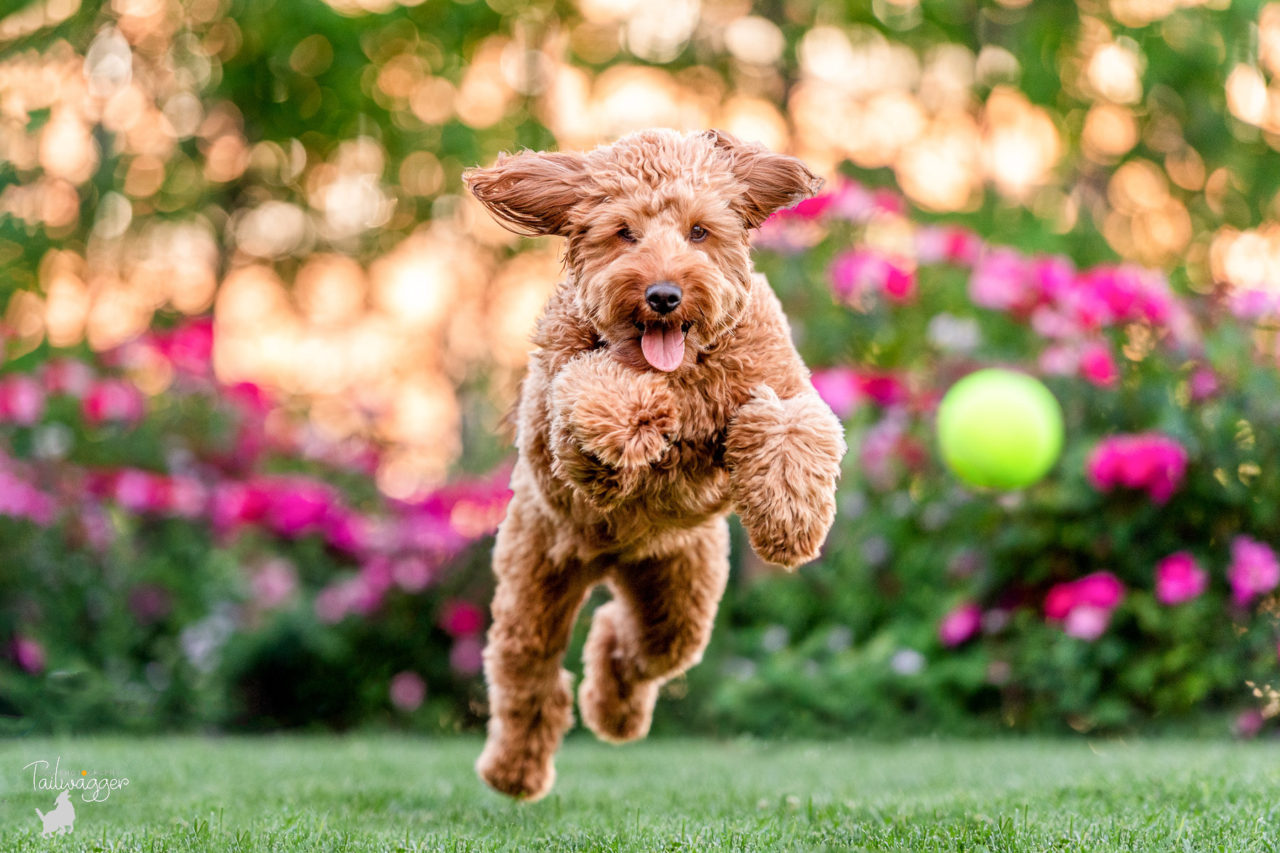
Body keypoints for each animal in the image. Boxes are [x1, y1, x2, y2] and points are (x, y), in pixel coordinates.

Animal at [465, 126, 844, 799]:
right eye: (624, 232)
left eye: (699, 231)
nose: (663, 295)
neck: (679, 367)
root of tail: (612, 562)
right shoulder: (562, 413)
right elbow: (594, 397)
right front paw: (641, 421)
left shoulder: (779, 382)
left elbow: (793, 423)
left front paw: (791, 523)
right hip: (535, 574)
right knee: (527, 676)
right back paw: (513, 771)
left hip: (677, 595)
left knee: (629, 645)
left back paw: (614, 710)